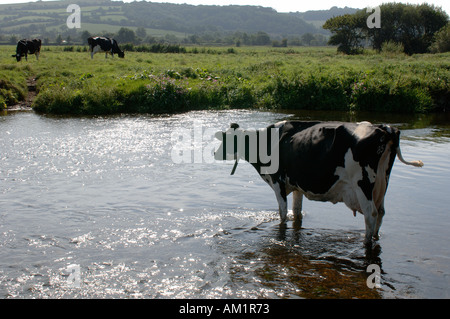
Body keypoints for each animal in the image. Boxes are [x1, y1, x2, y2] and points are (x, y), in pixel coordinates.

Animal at [216, 121, 424, 246]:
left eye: (227, 140)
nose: (215, 153)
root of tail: (384, 128)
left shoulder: (277, 183)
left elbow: (283, 213)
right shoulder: (297, 186)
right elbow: (296, 212)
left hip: (363, 184)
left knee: (370, 215)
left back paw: (366, 243)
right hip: (382, 185)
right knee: (380, 214)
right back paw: (374, 238)